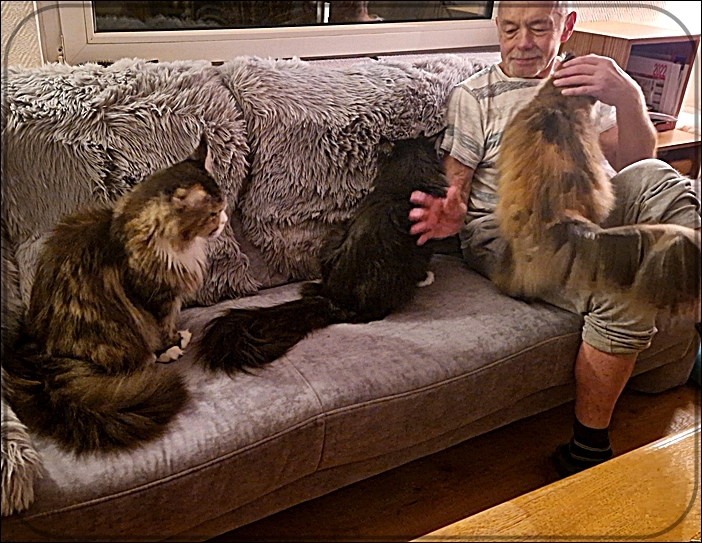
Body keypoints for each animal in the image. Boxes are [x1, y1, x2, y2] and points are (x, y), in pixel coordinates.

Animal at [2, 137, 228, 455]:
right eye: (212, 213)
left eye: (223, 208)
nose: (225, 219)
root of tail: (44, 358)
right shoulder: (155, 298)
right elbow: (163, 327)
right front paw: (172, 346)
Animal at [197, 135, 447, 375]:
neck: (406, 179)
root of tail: (332, 298)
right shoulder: (425, 239)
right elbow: (423, 264)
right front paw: (427, 277)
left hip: (334, 238)